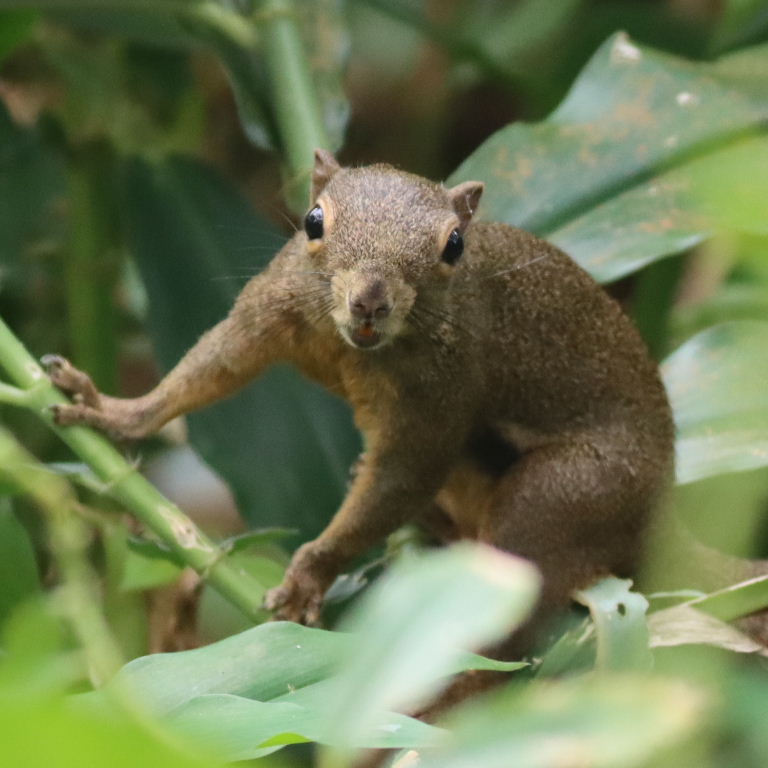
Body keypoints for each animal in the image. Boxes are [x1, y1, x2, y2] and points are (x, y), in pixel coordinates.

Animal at [45, 149, 678, 651]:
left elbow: (399, 479)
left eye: (454, 245)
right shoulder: (268, 307)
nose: (370, 300)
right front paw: (116, 413)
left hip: (561, 496)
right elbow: (211, 367)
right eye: (313, 220)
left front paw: (308, 578)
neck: (348, 346)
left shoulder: (439, 394)